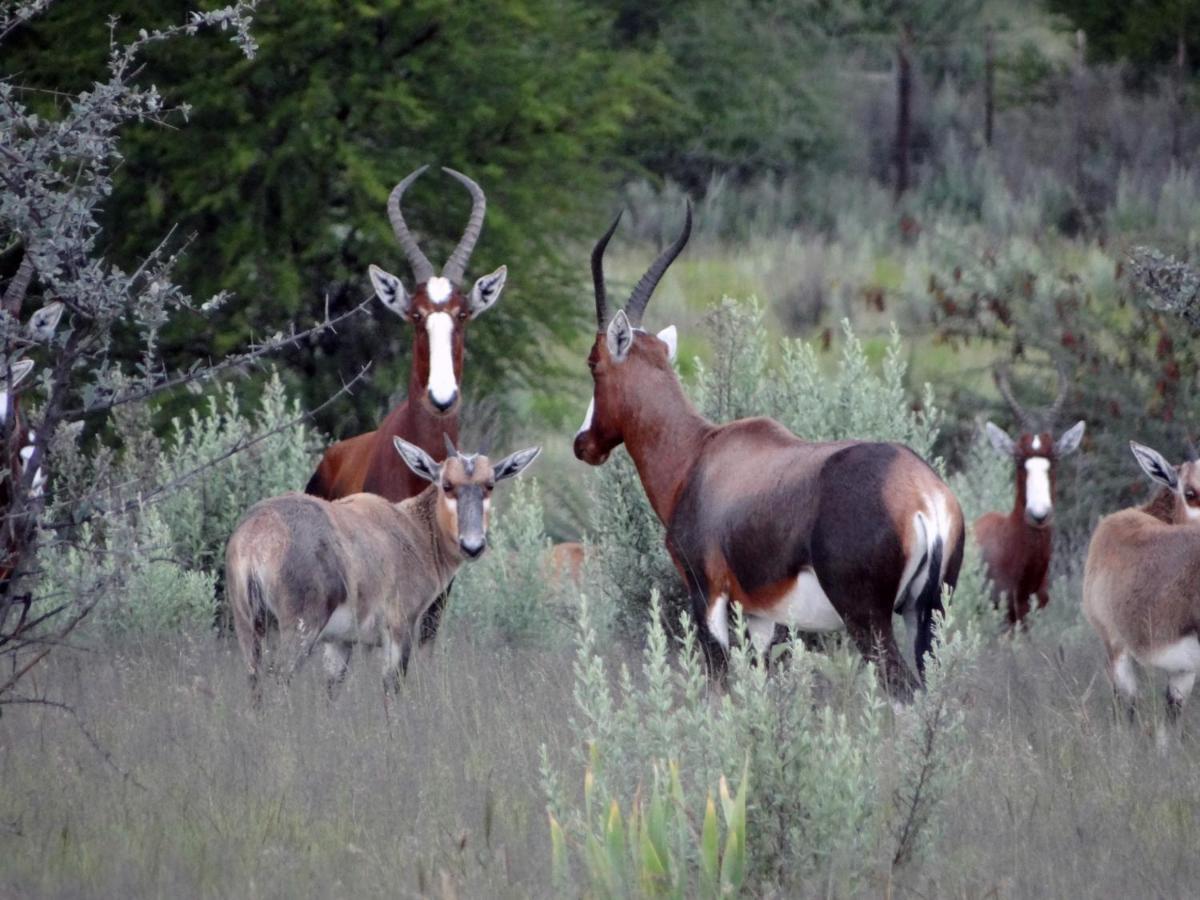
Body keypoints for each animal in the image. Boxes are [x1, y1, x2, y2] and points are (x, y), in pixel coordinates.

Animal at [225, 434, 544, 700]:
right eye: (447, 484)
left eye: (489, 484)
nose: (473, 546)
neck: (409, 527)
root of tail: (258, 535)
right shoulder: (399, 631)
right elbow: (392, 690)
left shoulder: (339, 643)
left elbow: (332, 692)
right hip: (299, 631)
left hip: (249, 629)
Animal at [571, 202, 964, 696]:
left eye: (593, 362)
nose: (584, 444)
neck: (700, 453)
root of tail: (921, 494)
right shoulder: (758, 616)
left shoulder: (706, 596)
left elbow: (719, 685)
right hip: (926, 617)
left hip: (867, 620)